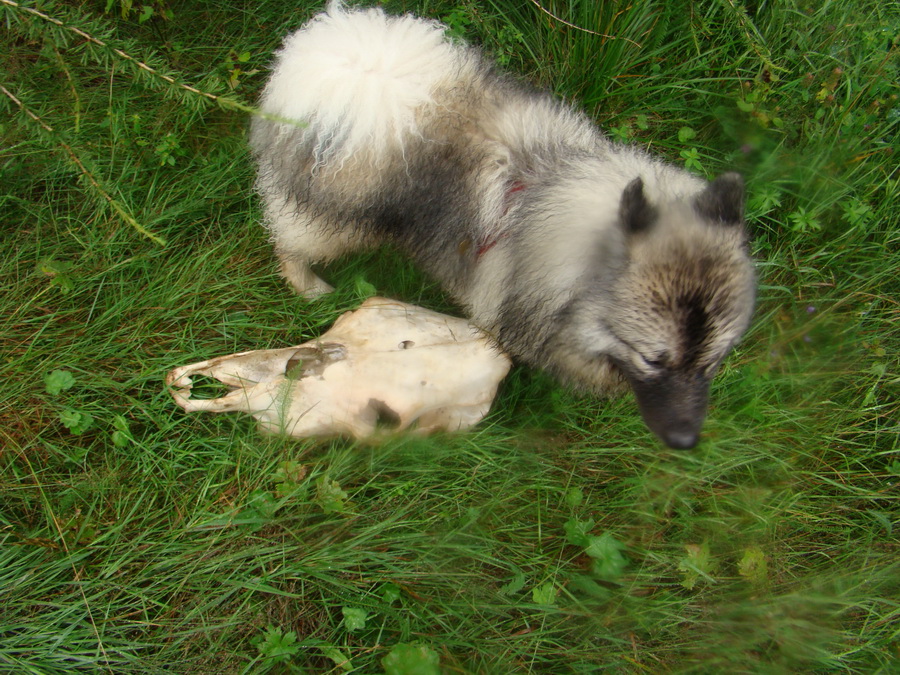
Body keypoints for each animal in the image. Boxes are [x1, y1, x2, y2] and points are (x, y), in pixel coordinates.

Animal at [250, 1, 756, 448]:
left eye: (712, 362)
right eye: (653, 359)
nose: (686, 440)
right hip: (332, 220)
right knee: (289, 244)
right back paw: (309, 286)